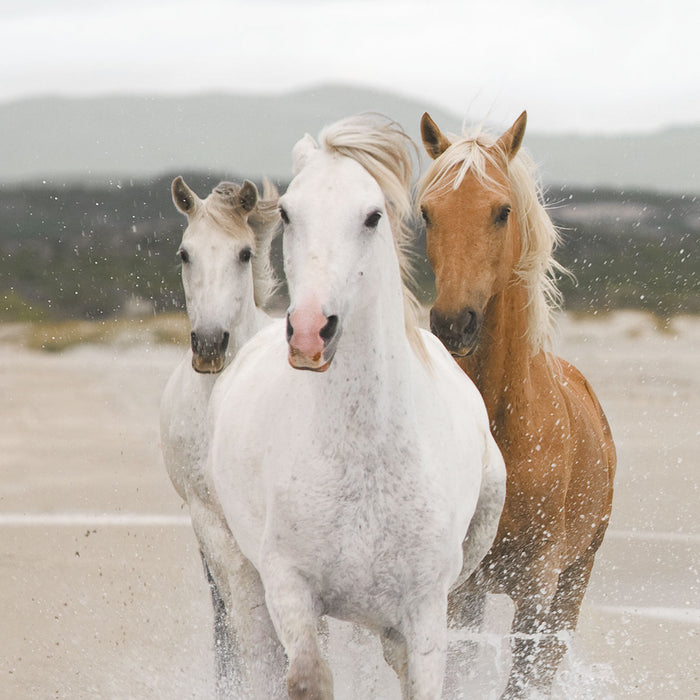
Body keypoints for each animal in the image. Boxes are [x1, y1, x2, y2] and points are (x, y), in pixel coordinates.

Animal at [209, 114, 506, 700]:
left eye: (372, 216)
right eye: (287, 213)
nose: (308, 332)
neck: (366, 451)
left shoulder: (426, 612)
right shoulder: (290, 586)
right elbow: (307, 677)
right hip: (241, 567)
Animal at [417, 111, 617, 698]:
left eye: (501, 211)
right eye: (428, 213)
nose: (453, 323)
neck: (505, 428)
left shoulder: (537, 586)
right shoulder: (461, 586)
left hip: (573, 581)